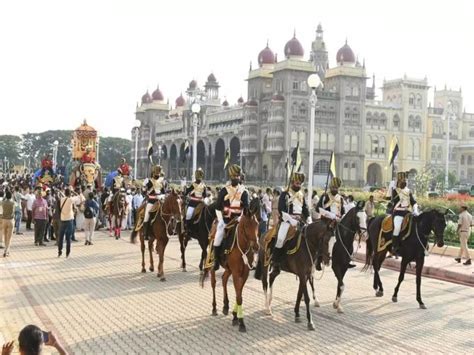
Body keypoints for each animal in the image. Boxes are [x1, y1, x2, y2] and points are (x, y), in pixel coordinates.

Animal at [200, 199, 260, 336]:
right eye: (246, 226)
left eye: (257, 224)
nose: (256, 247)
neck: (241, 246)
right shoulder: (236, 273)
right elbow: (239, 296)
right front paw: (241, 322)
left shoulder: (244, 273)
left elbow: (239, 293)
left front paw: (235, 315)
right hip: (213, 266)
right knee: (214, 283)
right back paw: (214, 307)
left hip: (228, 269)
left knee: (224, 279)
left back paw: (225, 306)